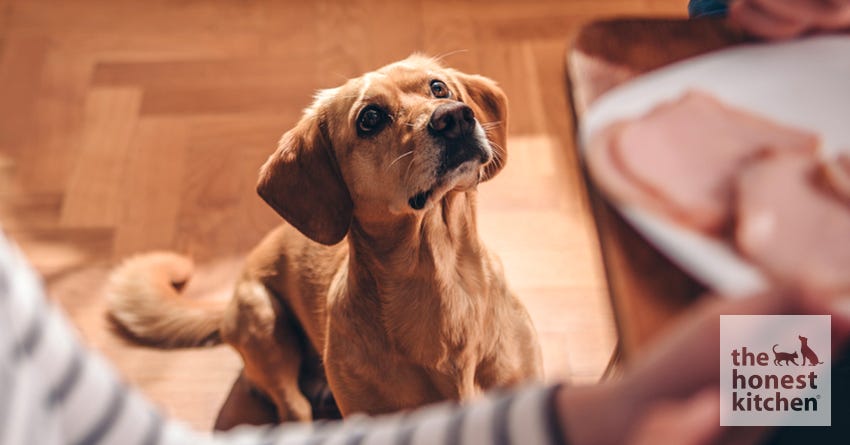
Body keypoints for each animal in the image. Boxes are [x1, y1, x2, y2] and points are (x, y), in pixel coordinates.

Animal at [106, 54, 544, 426]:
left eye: (439, 88)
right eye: (370, 118)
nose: (454, 117)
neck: (442, 278)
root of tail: (227, 301)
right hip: (262, 318)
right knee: (292, 408)